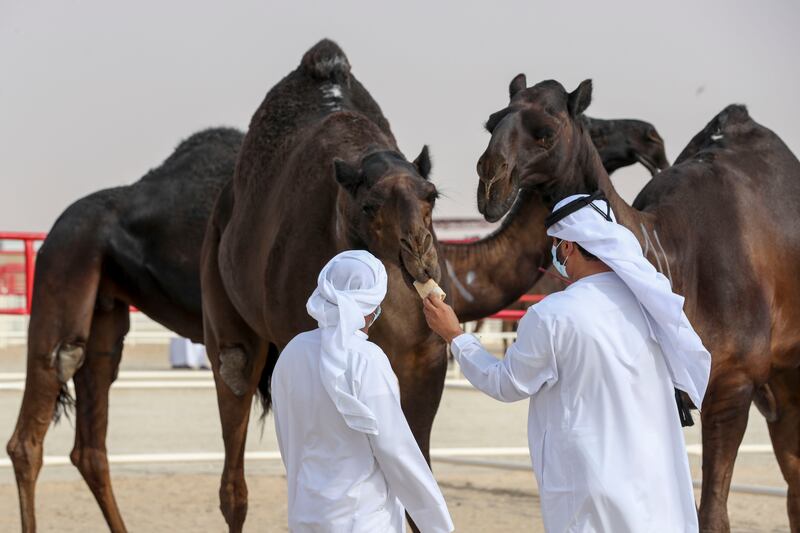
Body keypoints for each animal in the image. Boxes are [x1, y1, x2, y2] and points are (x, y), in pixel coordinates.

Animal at [472, 72, 800, 528]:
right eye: (492, 122)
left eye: (547, 132)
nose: (489, 184)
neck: (674, 257)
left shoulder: (733, 385)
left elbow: (712, 516)